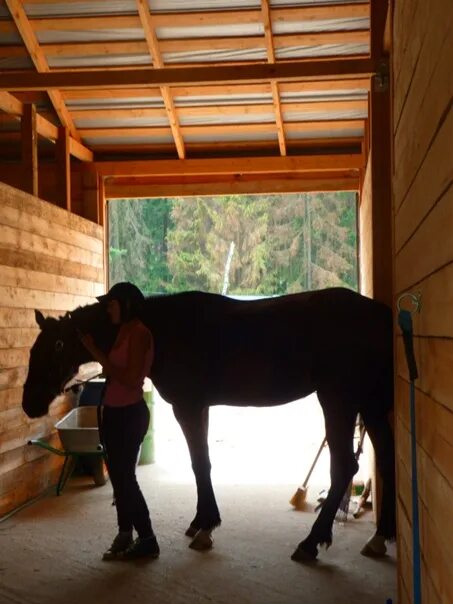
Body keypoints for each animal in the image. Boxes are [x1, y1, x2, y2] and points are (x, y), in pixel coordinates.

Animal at [23, 288, 394, 560]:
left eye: (56, 346)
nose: (29, 403)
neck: (163, 331)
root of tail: (379, 314)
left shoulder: (187, 406)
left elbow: (199, 463)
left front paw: (205, 528)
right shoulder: (199, 407)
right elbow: (202, 463)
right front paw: (202, 521)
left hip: (338, 400)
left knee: (344, 466)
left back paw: (311, 542)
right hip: (371, 403)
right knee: (385, 459)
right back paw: (380, 538)